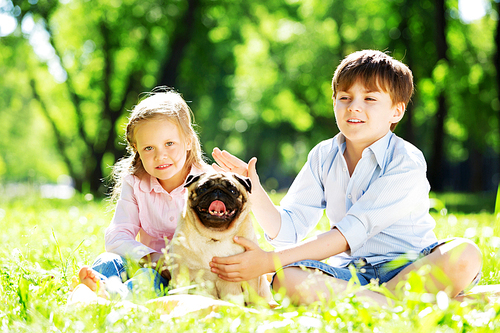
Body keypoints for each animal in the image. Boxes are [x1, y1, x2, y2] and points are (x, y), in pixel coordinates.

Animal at [170, 171, 276, 306]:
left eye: (232, 190)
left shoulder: (249, 277)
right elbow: (180, 294)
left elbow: (252, 298)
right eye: (202, 188)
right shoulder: (181, 274)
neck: (215, 236)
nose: (218, 190)